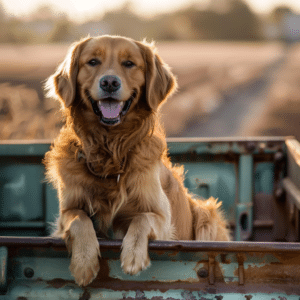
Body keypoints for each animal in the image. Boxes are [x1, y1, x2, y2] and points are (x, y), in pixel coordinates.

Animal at [44, 36, 230, 288]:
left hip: (206, 215)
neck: (111, 148)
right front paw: (83, 263)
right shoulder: (66, 211)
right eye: (92, 61)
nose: (109, 82)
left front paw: (133, 256)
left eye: (129, 63)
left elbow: (142, 218)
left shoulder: (163, 218)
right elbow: (78, 218)